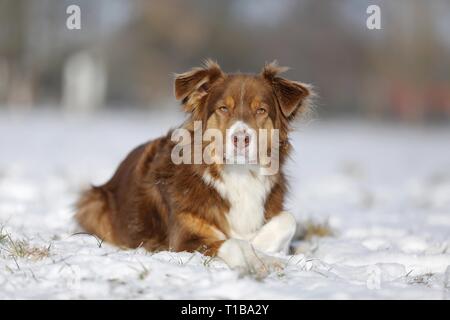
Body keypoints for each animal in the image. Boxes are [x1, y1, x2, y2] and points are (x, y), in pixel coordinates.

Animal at [74, 60, 312, 276]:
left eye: (261, 110)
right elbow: (233, 242)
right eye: (223, 108)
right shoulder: (184, 240)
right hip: (93, 203)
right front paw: (256, 259)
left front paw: (266, 252)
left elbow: (287, 220)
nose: (241, 138)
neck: (238, 174)